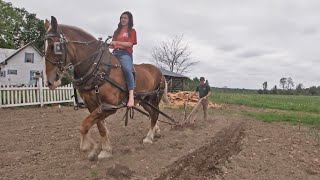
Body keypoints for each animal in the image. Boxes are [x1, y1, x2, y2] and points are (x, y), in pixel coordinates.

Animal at [44, 16, 170, 160]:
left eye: (55, 46)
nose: (49, 82)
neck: (98, 68)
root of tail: (160, 72)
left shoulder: (109, 107)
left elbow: (84, 125)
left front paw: (90, 147)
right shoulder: (93, 105)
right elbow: (100, 127)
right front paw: (105, 150)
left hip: (154, 98)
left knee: (155, 114)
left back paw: (149, 137)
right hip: (145, 101)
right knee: (152, 113)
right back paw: (156, 131)